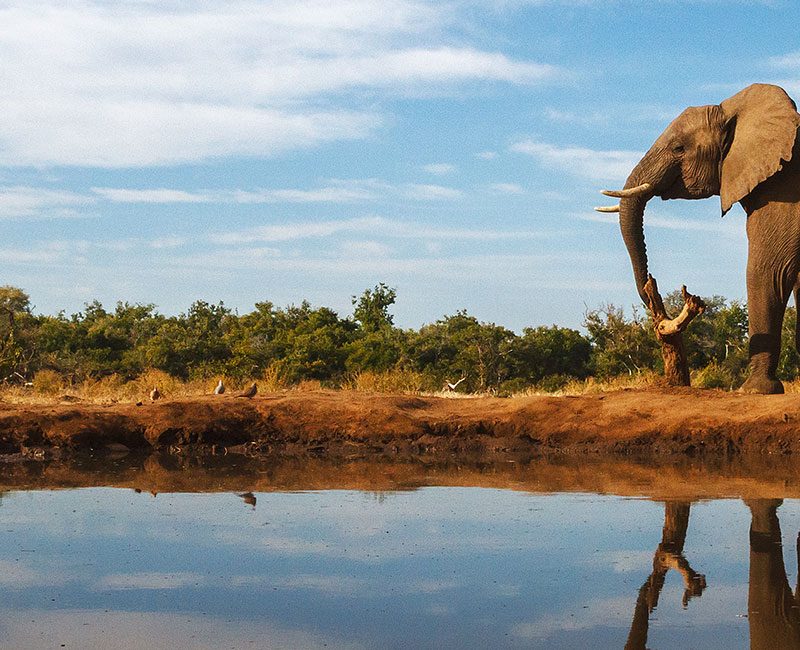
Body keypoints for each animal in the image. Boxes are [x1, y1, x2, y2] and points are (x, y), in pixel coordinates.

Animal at [597, 83, 800, 393]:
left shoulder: (784, 190)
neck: (732, 109)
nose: (650, 290)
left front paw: (753, 390)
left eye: (679, 148)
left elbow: (770, 268)